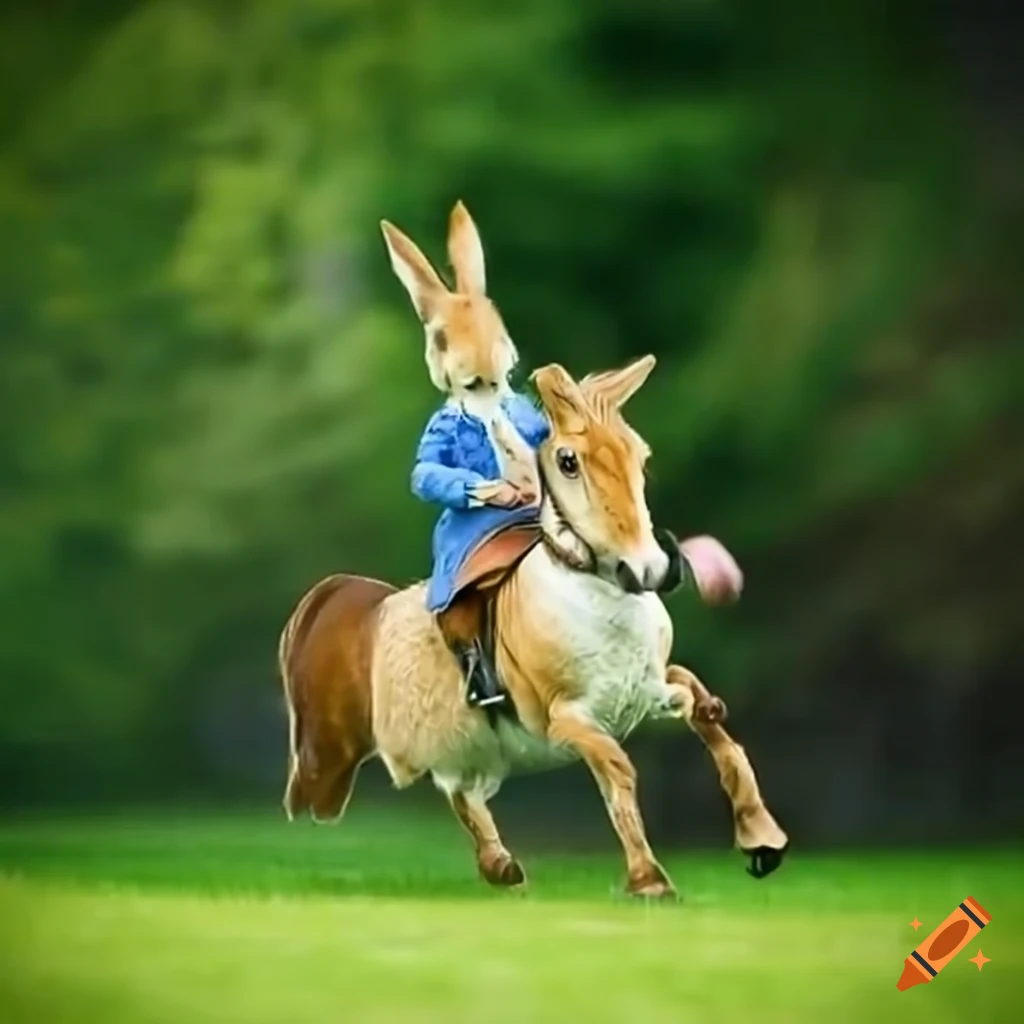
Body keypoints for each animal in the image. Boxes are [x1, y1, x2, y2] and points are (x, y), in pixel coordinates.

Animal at [277, 357, 788, 897]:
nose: (648, 568)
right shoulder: (564, 719)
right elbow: (618, 770)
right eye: (567, 461)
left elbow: (711, 724)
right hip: (343, 751)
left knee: (462, 791)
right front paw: (649, 879)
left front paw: (761, 838)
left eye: (639, 454)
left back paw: (499, 865)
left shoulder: (646, 691)